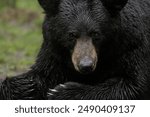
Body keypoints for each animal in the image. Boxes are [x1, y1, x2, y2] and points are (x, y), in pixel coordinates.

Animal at [0, 0, 150, 99]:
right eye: (71, 35)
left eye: (95, 33)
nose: (86, 65)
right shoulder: (55, 50)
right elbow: (43, 74)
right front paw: (25, 86)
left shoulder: (132, 44)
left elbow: (135, 84)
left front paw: (61, 92)